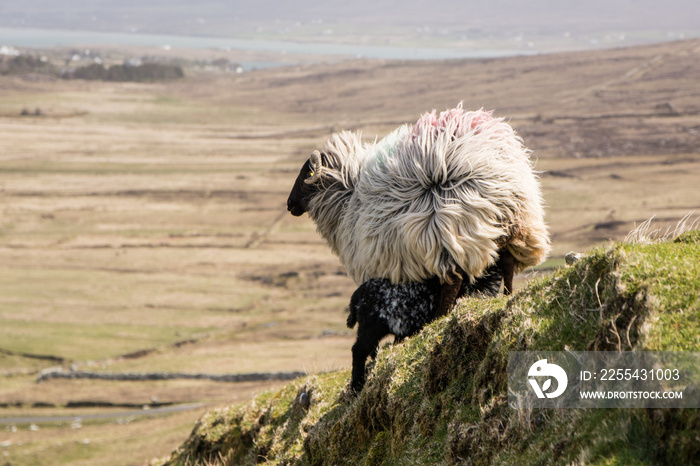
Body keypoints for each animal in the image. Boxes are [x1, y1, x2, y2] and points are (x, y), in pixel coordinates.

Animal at [288, 104, 548, 314]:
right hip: (516, 222)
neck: (346, 197)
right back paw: (507, 296)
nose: (289, 204)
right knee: (507, 261)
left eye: (305, 173)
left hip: (446, 231)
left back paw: (440, 317)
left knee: (453, 279)